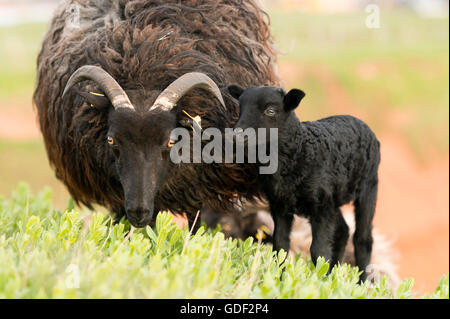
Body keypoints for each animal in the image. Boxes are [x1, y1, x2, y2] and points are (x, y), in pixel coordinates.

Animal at [229, 84, 380, 282]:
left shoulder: (320, 207)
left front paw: (316, 282)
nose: (238, 136)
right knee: (343, 231)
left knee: (363, 239)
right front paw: (281, 280)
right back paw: (332, 276)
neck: (300, 151)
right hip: (332, 197)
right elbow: (280, 246)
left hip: (368, 187)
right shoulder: (280, 205)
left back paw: (360, 283)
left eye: (271, 110)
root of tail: (359, 121)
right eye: (240, 107)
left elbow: (318, 251)